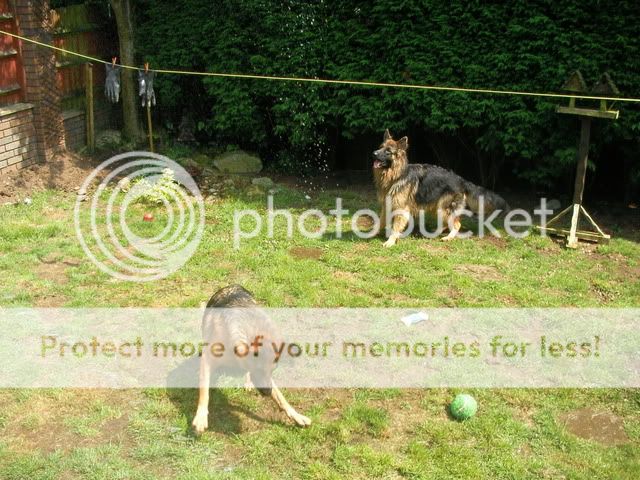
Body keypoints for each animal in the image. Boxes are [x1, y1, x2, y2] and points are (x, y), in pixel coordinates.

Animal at [191, 284, 312, 434]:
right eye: (258, 369)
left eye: (273, 371)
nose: (267, 393)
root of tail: (233, 285)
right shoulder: (208, 360)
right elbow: (204, 391)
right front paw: (201, 417)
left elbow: (281, 397)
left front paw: (296, 415)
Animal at [372, 129, 508, 246]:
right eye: (380, 147)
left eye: (388, 151)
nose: (374, 154)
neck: (396, 176)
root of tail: (461, 180)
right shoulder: (386, 205)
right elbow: (380, 221)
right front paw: (372, 233)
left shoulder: (401, 209)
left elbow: (395, 227)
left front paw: (390, 241)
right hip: (436, 206)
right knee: (447, 223)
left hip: (443, 207)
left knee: (456, 224)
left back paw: (448, 237)